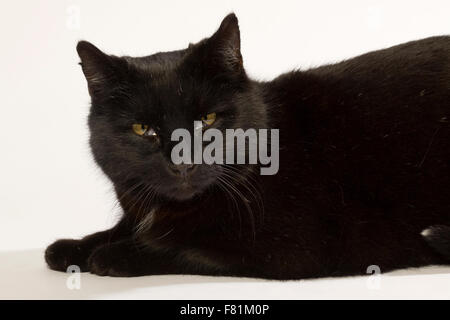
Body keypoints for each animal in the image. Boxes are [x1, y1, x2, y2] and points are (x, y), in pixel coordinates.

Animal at [45, 13, 450, 278]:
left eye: (207, 119)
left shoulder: (290, 249)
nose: (182, 162)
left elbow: (183, 248)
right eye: (144, 129)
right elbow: (123, 228)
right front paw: (71, 247)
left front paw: (113, 255)